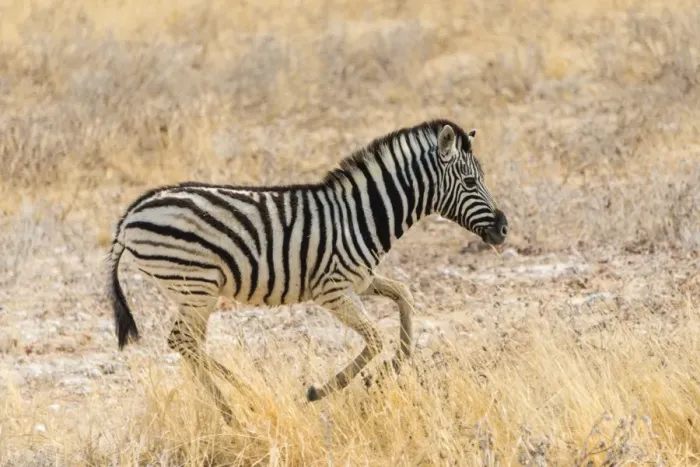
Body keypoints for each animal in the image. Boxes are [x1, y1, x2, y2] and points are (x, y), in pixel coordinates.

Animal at [107, 119, 508, 423]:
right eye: (470, 183)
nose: (504, 229)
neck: (361, 217)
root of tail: (130, 215)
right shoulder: (334, 291)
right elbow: (375, 339)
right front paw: (325, 390)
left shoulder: (361, 281)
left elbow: (405, 299)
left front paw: (392, 368)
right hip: (196, 286)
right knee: (182, 341)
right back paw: (244, 400)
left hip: (193, 290)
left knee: (186, 343)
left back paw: (235, 407)